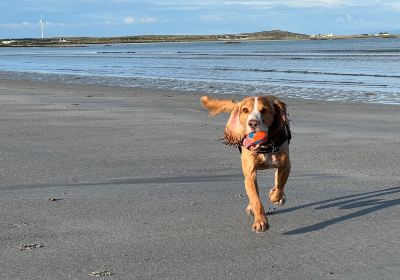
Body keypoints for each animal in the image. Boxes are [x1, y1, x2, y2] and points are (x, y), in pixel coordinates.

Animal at [200, 95, 290, 232]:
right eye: (245, 110)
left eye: (264, 110)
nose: (252, 123)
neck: (265, 146)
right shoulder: (250, 175)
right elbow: (256, 200)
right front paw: (261, 222)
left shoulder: (285, 166)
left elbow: (279, 186)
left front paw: (275, 196)